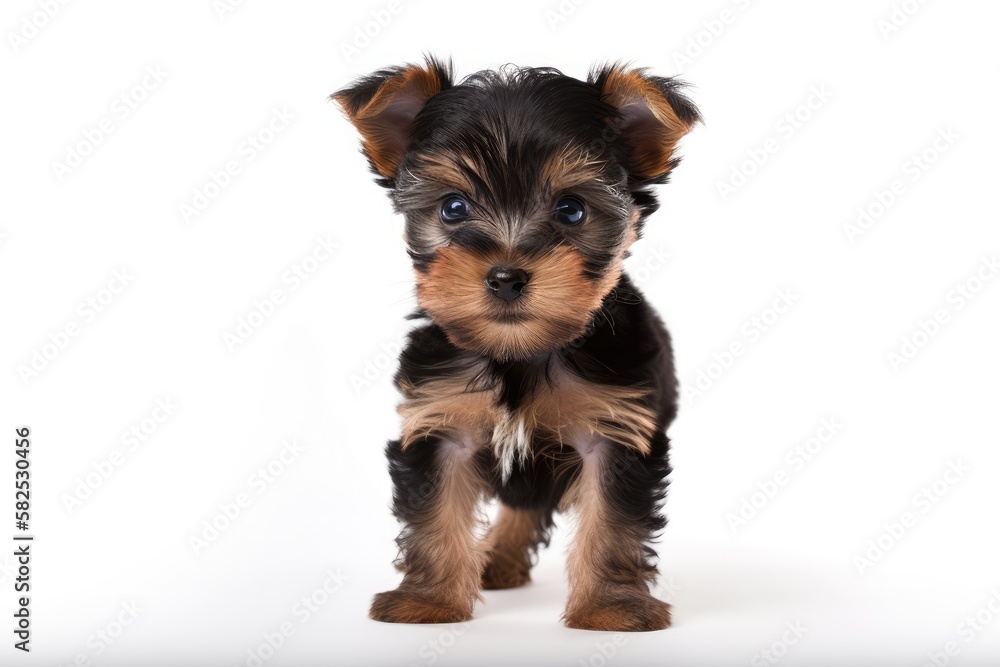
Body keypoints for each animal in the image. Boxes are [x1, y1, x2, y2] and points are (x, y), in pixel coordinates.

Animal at [332, 56, 700, 632]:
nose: (506, 276)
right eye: (453, 207)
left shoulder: (615, 429)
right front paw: (427, 602)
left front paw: (612, 608)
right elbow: (435, 512)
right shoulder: (440, 420)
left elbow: (612, 522)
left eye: (571, 210)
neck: (519, 353)